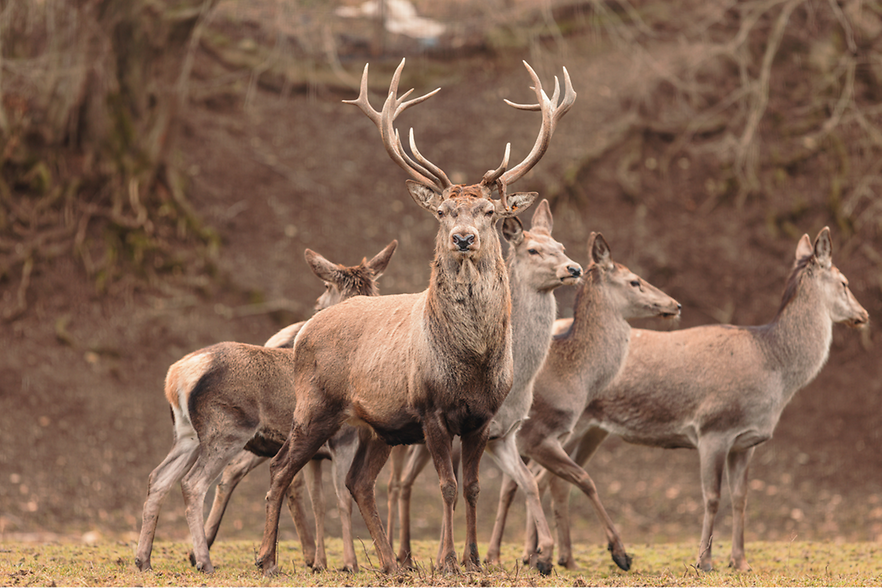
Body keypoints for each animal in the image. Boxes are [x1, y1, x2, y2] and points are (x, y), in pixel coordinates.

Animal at [134, 240, 396, 576]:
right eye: (326, 285)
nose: (316, 305)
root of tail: (176, 375)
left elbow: (322, 499)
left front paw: (324, 562)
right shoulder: (343, 438)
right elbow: (342, 497)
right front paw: (349, 563)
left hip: (187, 434)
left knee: (158, 478)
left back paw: (144, 559)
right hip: (227, 431)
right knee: (193, 483)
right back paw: (204, 560)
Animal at [396, 199, 580, 576]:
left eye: (561, 246)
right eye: (533, 249)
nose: (574, 268)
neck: (521, 381)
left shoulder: (503, 434)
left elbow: (524, 483)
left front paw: (540, 553)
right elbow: (453, 488)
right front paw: (449, 557)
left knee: (402, 481)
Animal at [482, 231, 680, 568]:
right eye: (634, 281)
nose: (675, 304)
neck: (576, 378)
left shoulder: (552, 436)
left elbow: (534, 483)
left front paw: (536, 555)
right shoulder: (537, 436)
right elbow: (580, 479)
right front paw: (617, 552)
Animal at [528, 225, 868, 568]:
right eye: (844, 282)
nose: (863, 313)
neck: (774, 366)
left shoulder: (747, 441)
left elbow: (741, 498)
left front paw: (740, 561)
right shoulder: (713, 428)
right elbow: (712, 497)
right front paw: (704, 561)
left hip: (592, 429)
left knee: (547, 478)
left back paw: (556, 558)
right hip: (568, 423)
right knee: (539, 475)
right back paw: (542, 556)